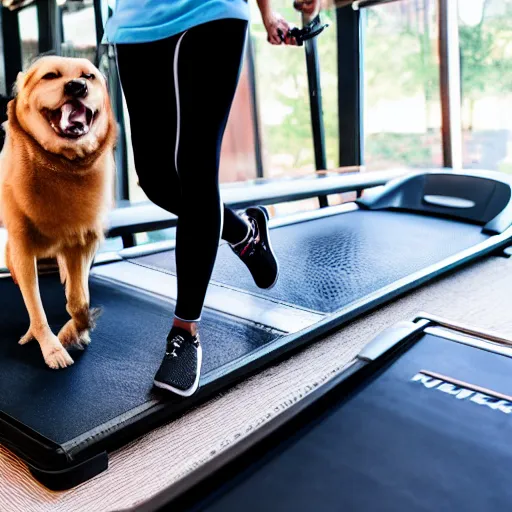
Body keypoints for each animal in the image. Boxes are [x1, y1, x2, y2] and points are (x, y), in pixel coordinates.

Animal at [0, 55, 117, 368]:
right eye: (50, 75)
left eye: (89, 77)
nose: (76, 87)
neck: (63, 167)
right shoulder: (22, 251)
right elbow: (35, 307)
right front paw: (50, 346)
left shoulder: (83, 241)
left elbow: (79, 300)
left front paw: (76, 330)